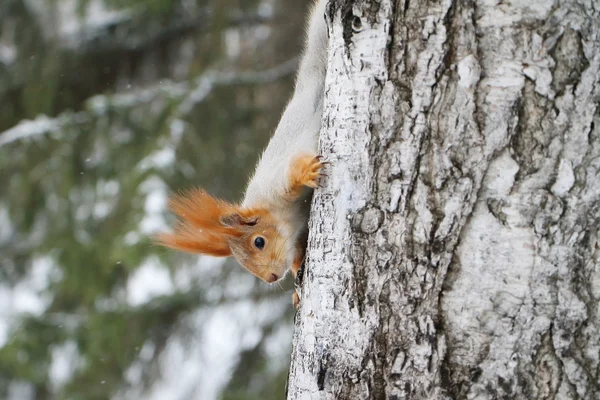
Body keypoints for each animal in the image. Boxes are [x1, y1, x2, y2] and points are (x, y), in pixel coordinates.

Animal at [152, 0, 326, 310]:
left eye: (259, 242)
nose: (270, 278)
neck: (286, 217)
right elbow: (298, 253)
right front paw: (296, 286)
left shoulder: (277, 186)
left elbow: (293, 171)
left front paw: (307, 172)